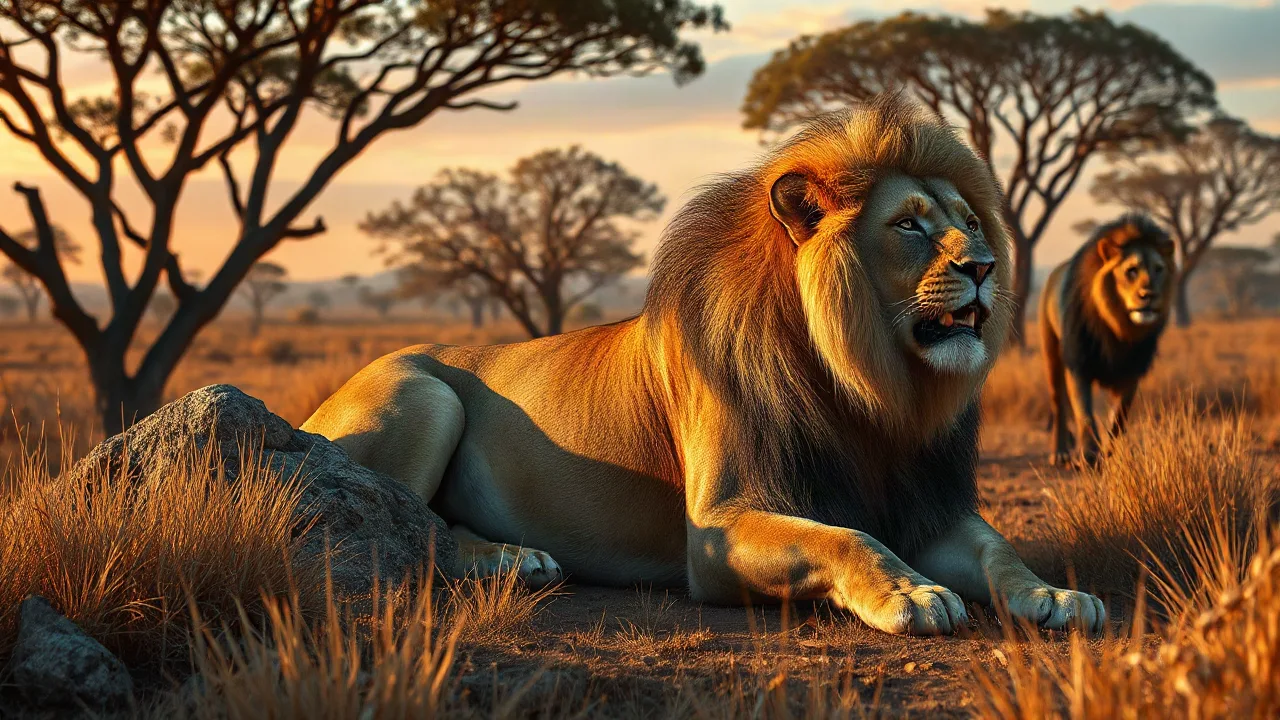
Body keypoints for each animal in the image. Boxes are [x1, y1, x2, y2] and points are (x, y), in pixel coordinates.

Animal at [302, 94, 1105, 636]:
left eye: (969, 222)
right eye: (908, 224)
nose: (986, 266)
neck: (871, 391)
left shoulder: (929, 509)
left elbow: (1000, 552)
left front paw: (1056, 596)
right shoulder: (718, 533)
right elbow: (848, 538)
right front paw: (911, 594)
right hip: (425, 394)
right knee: (409, 527)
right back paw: (513, 561)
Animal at [1039, 214, 1175, 467]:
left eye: (1159, 269)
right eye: (1131, 270)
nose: (1149, 295)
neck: (1118, 328)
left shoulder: (1131, 370)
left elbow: (1119, 418)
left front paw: (1110, 453)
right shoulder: (1079, 364)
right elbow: (1084, 412)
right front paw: (1088, 455)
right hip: (1051, 353)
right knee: (1058, 404)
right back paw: (1060, 452)